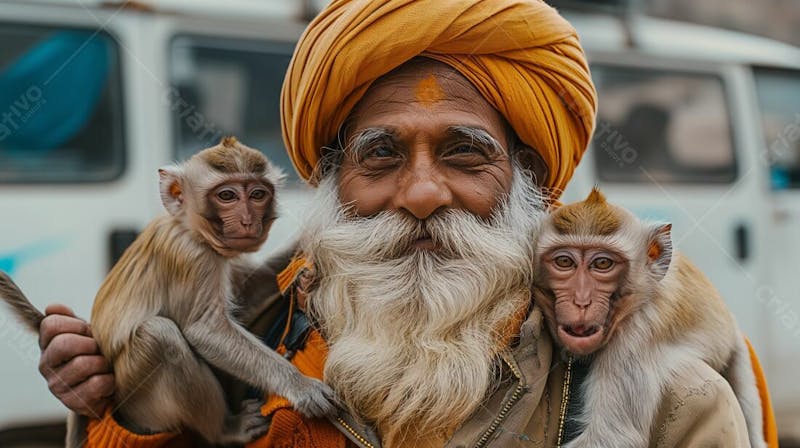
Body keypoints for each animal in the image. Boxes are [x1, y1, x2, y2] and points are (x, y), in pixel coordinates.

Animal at [0, 137, 338, 448]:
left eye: (257, 195)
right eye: (227, 195)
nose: (247, 221)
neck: (188, 228)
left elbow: (246, 297)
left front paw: (308, 239)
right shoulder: (193, 257)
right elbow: (204, 329)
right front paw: (300, 386)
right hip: (137, 397)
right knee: (160, 337)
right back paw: (225, 429)